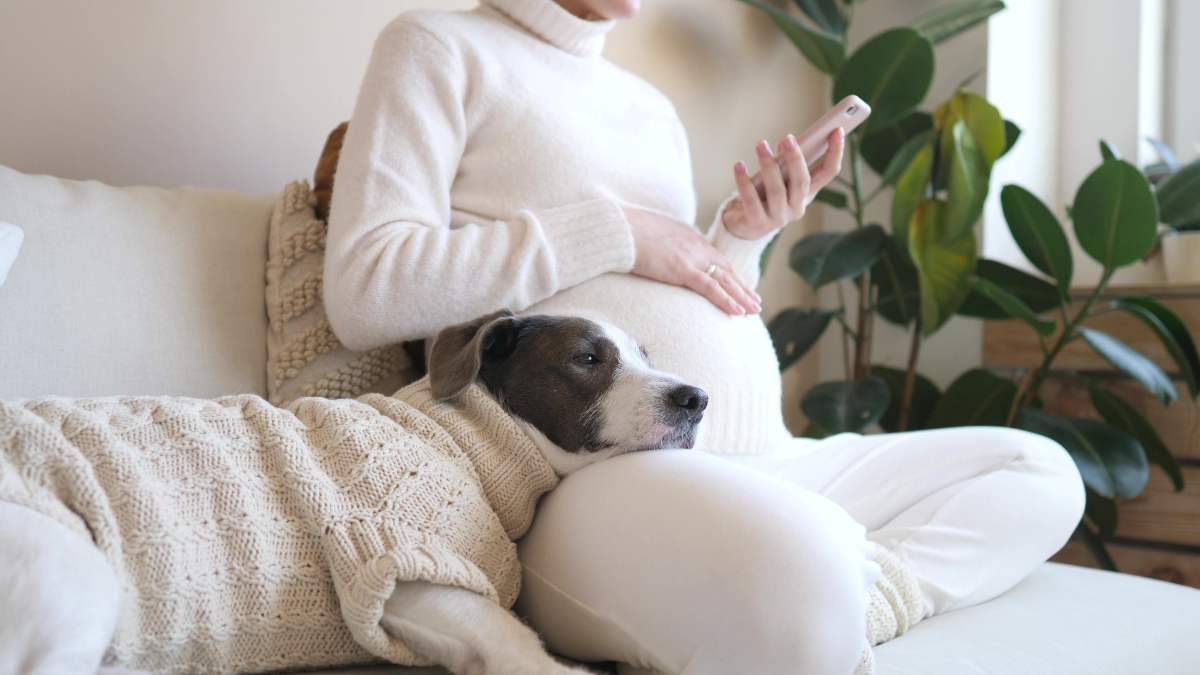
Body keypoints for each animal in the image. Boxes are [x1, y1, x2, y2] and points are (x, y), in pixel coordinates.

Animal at [0, 309, 705, 672]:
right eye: (587, 359)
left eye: (646, 355)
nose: (698, 398)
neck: (471, 438)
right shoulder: (394, 556)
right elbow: (516, 643)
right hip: (76, 582)